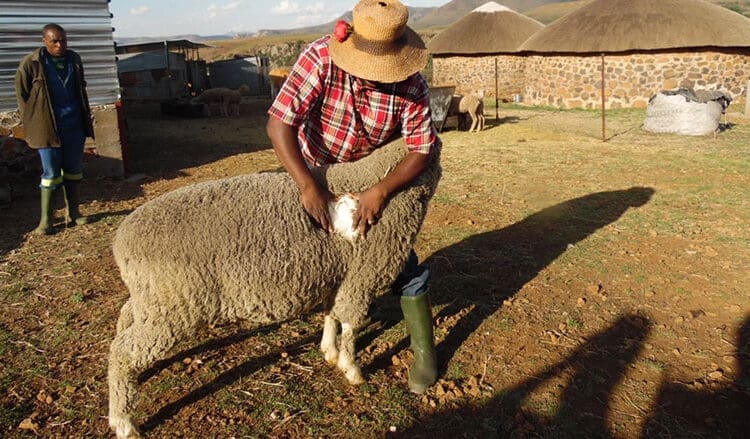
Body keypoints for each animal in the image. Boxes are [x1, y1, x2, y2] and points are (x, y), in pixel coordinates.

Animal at [107, 138, 441, 438]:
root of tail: (121, 242)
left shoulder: (337, 276)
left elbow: (331, 315)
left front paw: (329, 351)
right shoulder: (359, 277)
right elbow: (350, 324)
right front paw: (352, 369)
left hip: (151, 297)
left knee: (125, 320)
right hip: (171, 303)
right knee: (122, 351)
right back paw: (123, 422)